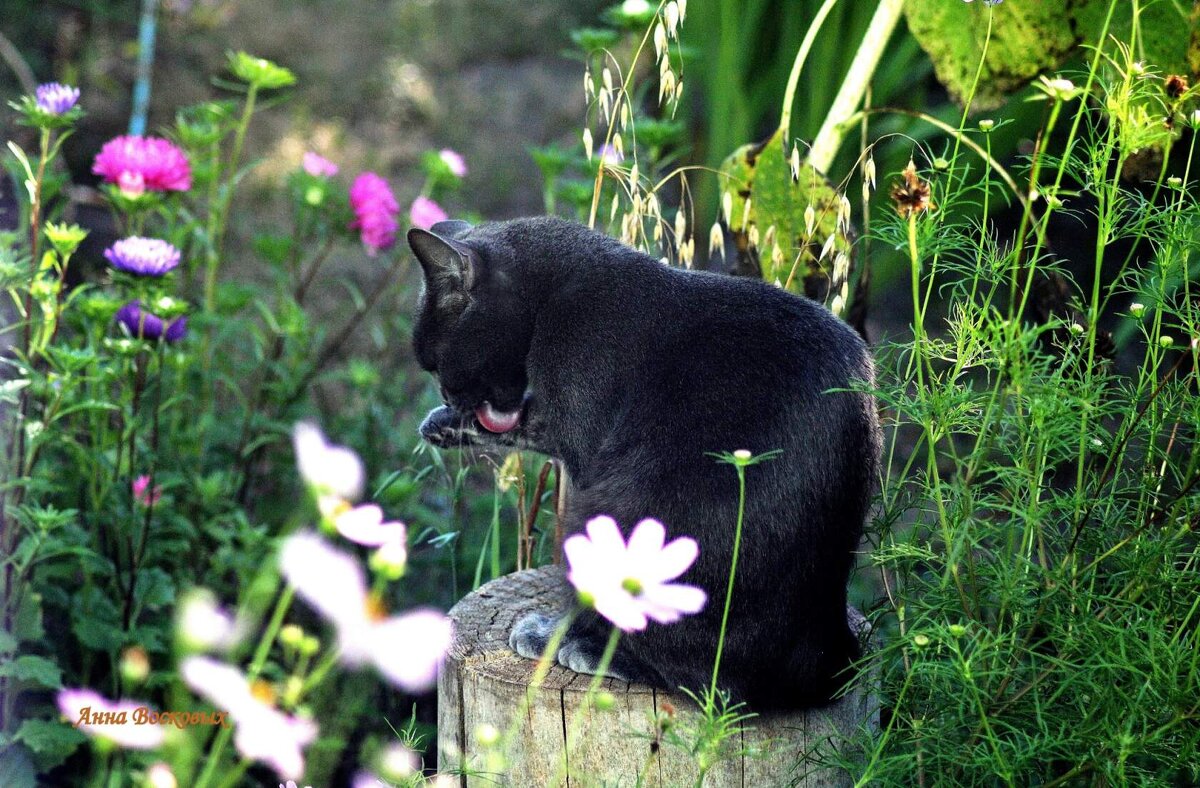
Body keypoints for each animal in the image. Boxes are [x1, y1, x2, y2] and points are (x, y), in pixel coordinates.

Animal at [410, 214, 883, 705]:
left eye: (438, 362)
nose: (447, 395)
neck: (550, 297)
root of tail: (824, 661)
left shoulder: (579, 432)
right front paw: (442, 424)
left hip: (609, 513)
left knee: (705, 677)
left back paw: (581, 647)